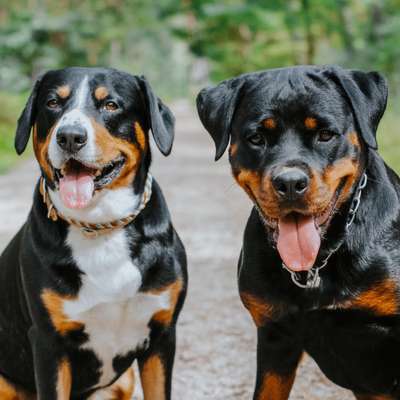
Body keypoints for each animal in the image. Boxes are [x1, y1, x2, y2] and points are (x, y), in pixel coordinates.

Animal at [0, 67, 188, 398]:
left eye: (111, 105)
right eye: (52, 103)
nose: (70, 137)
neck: (100, 225)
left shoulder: (162, 336)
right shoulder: (49, 344)